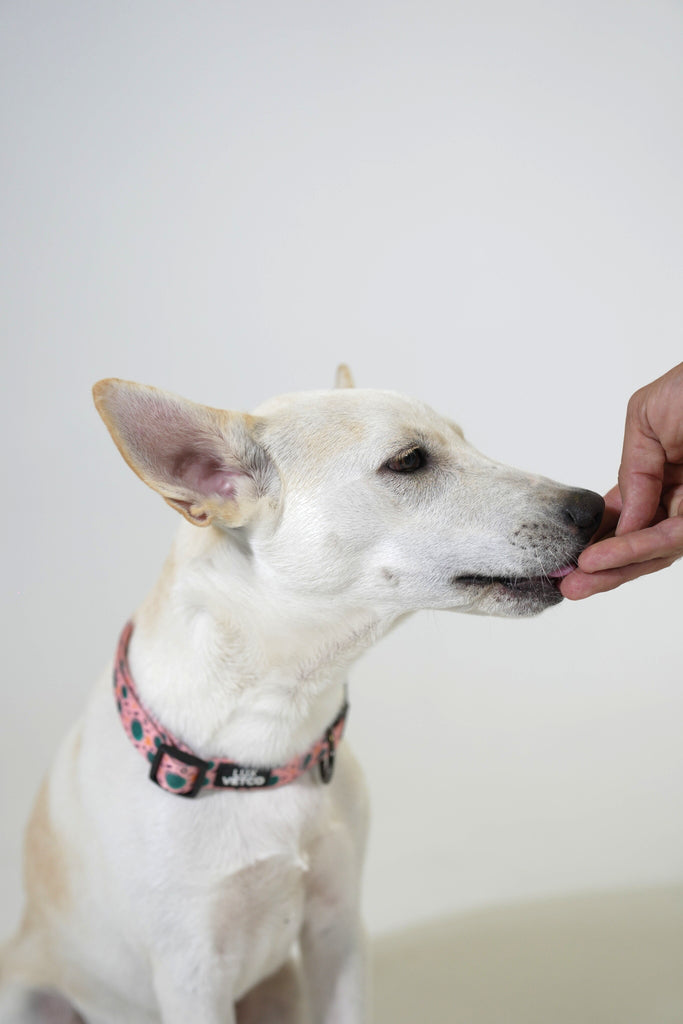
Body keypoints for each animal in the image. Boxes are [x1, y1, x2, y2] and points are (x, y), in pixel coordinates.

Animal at [0, 370, 602, 1024]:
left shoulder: (337, 932)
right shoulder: (193, 973)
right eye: (409, 461)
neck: (273, 720)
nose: (595, 506)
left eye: (465, 440)